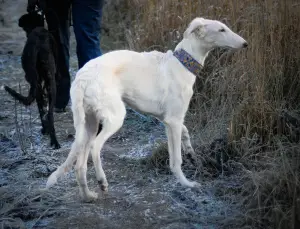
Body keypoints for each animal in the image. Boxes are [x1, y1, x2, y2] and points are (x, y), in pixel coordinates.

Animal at [4, 12, 60, 149]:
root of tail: (38, 43)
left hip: (37, 82)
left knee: (44, 111)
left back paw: (49, 134)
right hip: (49, 84)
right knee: (49, 113)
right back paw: (54, 141)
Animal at [46, 17, 248, 201]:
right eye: (221, 30)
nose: (245, 44)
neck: (181, 64)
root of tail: (82, 77)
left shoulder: (168, 120)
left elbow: (184, 135)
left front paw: (191, 153)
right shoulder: (173, 121)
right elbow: (176, 160)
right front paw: (187, 184)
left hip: (89, 123)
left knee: (80, 164)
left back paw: (88, 195)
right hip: (114, 117)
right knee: (96, 147)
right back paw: (102, 182)